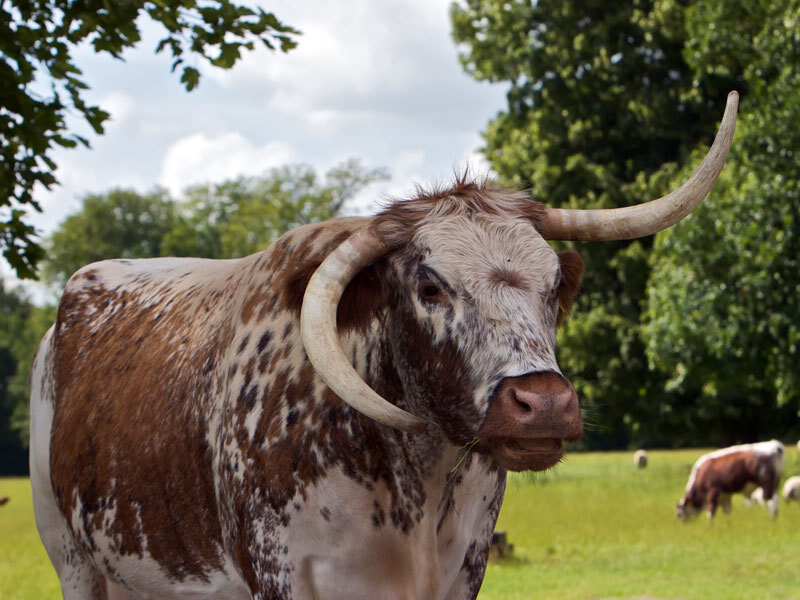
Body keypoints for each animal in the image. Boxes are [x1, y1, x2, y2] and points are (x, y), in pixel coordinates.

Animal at [30, 92, 738, 600]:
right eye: (429, 286)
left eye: (555, 283)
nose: (543, 404)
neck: (415, 486)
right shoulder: (285, 577)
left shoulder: (461, 575)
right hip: (72, 559)